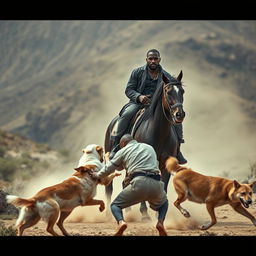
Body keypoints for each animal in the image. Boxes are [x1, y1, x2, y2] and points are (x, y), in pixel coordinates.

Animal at [104, 70, 186, 220]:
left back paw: (128, 210)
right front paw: (145, 214)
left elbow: (163, 187)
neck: (158, 131)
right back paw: (108, 214)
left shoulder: (165, 164)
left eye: (182, 91)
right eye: (168, 91)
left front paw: (158, 212)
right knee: (109, 187)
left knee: (125, 183)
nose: (179, 114)